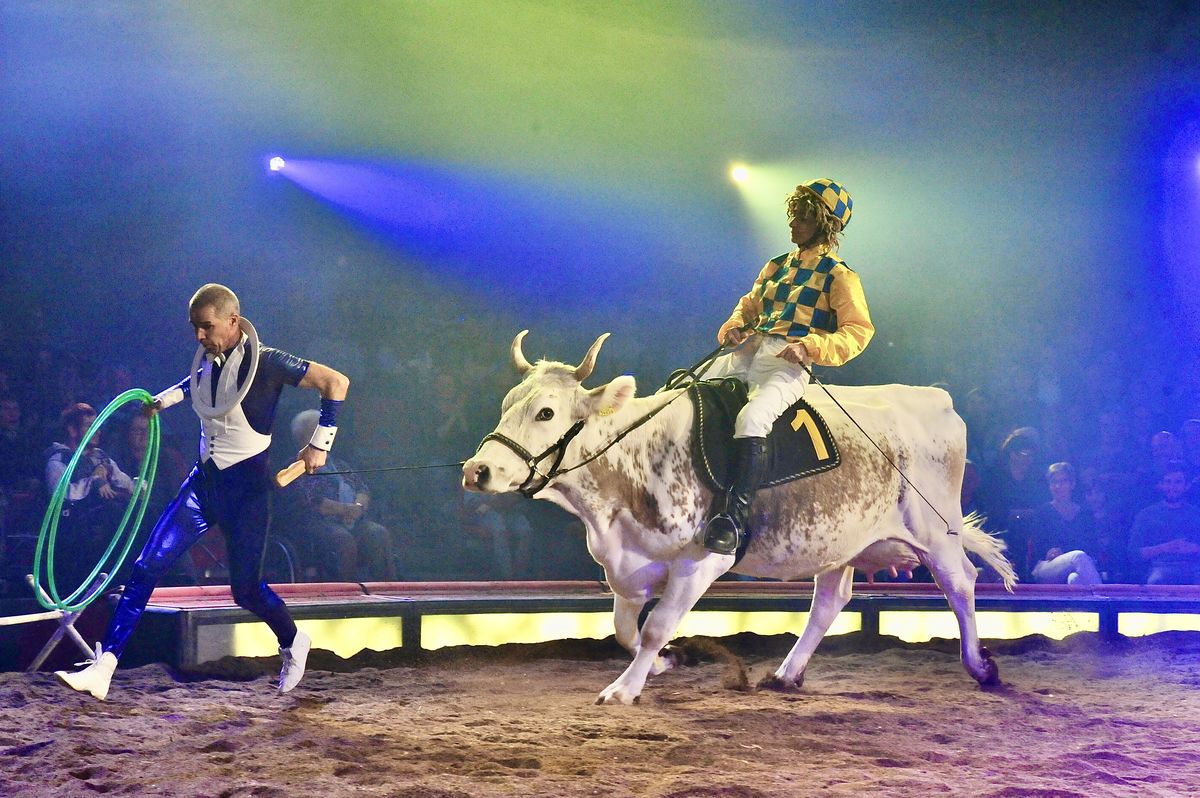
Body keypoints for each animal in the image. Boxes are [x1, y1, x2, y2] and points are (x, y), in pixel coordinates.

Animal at [463, 331, 1017, 705]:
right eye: (508, 405)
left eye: (547, 413)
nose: (477, 470)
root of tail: (932, 398)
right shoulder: (628, 564)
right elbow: (624, 630)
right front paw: (664, 665)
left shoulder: (701, 561)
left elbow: (655, 627)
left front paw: (624, 688)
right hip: (840, 539)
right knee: (829, 602)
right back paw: (787, 673)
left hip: (935, 531)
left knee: (961, 584)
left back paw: (980, 666)